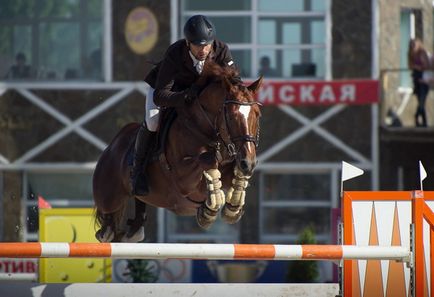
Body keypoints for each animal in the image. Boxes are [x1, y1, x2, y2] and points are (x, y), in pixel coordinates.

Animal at [92, 62, 262, 240]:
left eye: (257, 115)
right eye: (231, 116)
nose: (249, 163)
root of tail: (113, 145)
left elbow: (233, 173)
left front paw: (232, 207)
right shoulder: (183, 179)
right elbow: (208, 160)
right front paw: (208, 212)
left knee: (130, 230)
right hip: (109, 199)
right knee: (105, 231)